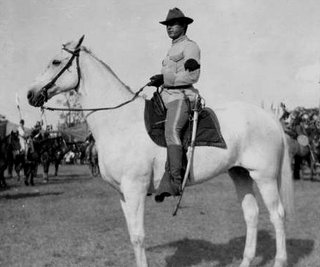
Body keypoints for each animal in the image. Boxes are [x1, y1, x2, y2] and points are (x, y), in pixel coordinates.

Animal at [27, 37, 296, 267]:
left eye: (56, 62)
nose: (31, 94)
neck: (120, 120)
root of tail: (269, 118)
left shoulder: (135, 190)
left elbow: (138, 236)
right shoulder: (123, 194)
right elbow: (132, 235)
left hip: (264, 177)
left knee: (277, 215)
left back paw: (280, 260)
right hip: (240, 174)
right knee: (251, 215)